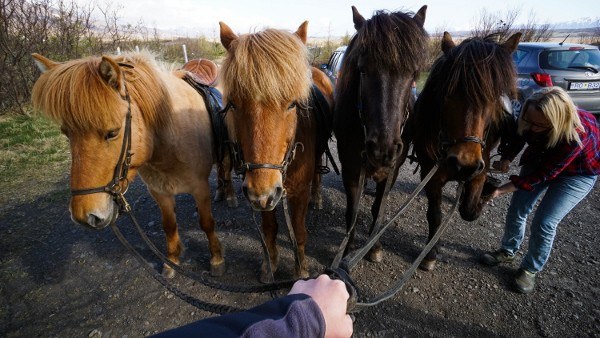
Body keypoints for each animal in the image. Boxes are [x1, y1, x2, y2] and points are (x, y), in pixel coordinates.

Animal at [31, 50, 234, 278]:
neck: (169, 137)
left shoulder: (199, 187)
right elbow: (169, 225)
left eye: (112, 133)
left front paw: (216, 258)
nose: (85, 217)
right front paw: (172, 261)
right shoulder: (159, 191)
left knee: (226, 169)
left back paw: (230, 196)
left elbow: (207, 223)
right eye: (66, 134)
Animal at [219, 21, 332, 282]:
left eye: (292, 104)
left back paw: (318, 197)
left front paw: (300, 268)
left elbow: (298, 231)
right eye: (234, 104)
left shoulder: (297, 191)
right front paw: (269, 264)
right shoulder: (262, 195)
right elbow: (269, 229)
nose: (264, 189)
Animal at [336, 6, 428, 262]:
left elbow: (379, 207)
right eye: (362, 70)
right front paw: (347, 250)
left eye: (413, 73)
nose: (382, 149)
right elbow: (353, 210)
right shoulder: (351, 168)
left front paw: (373, 247)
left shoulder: (392, 170)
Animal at [400, 31, 524, 270]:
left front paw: (481, 198)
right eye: (446, 93)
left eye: (495, 99)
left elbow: (469, 210)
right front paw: (430, 254)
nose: (464, 164)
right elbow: (435, 214)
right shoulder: (431, 174)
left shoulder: (480, 167)